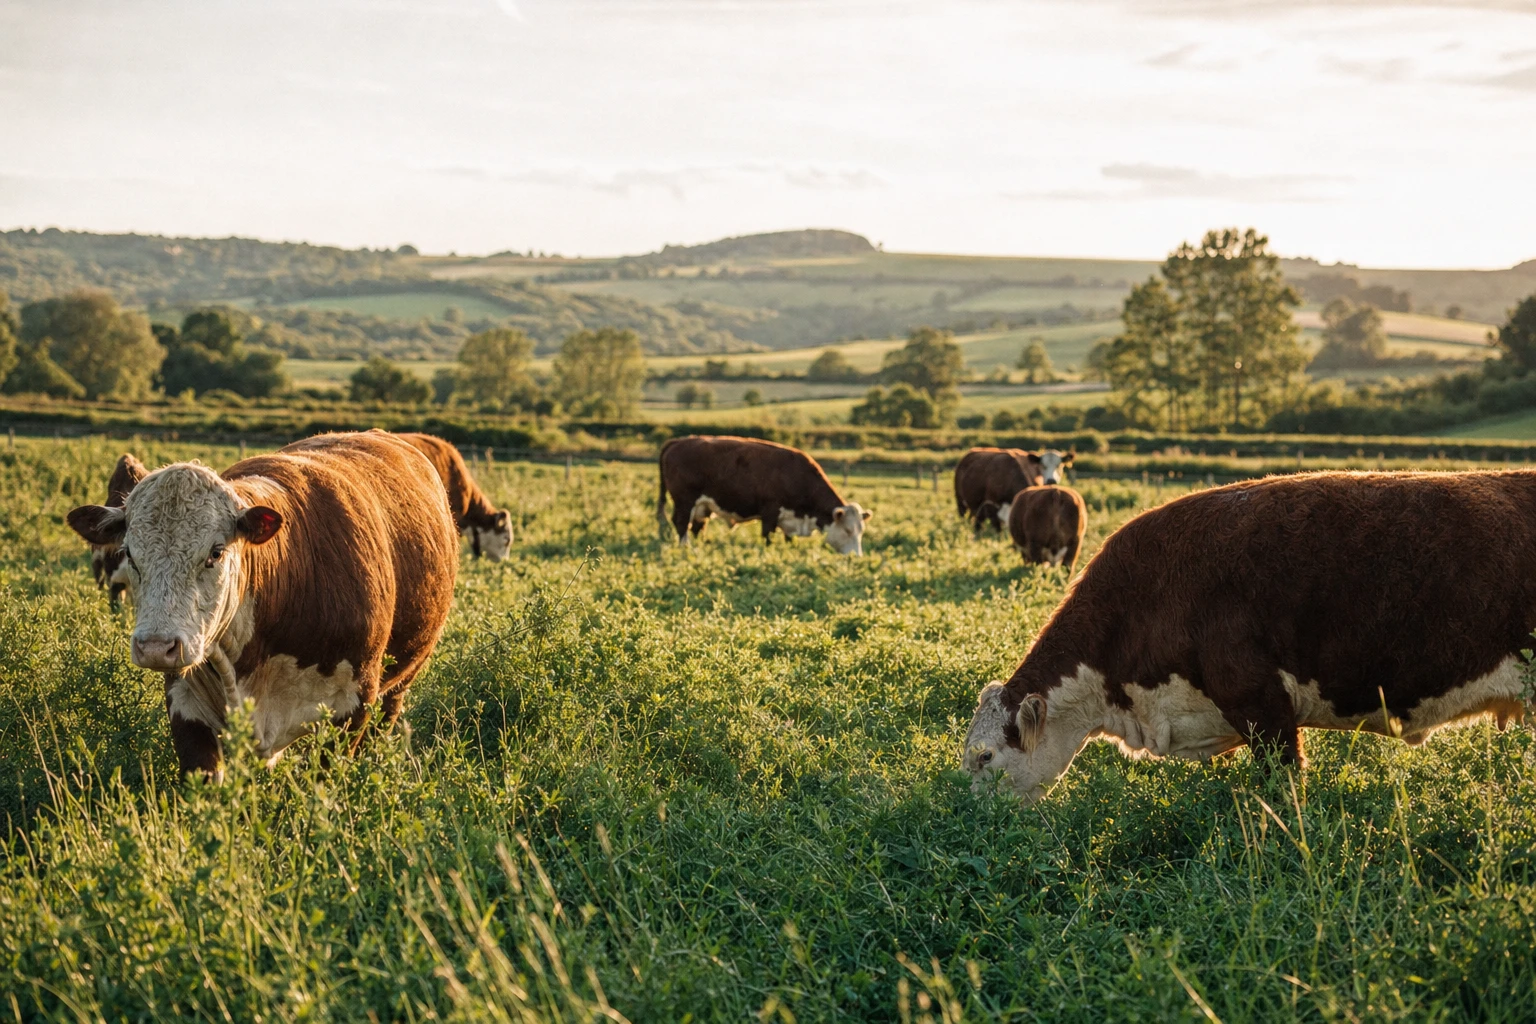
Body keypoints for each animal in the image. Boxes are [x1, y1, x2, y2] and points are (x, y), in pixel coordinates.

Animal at [657, 435, 872, 554]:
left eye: (861, 531)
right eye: (848, 531)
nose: (856, 557)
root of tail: (678, 441)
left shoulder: (790, 520)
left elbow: (789, 540)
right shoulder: (770, 511)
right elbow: (768, 537)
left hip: (703, 505)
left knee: (698, 526)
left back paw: (700, 546)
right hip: (685, 500)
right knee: (681, 523)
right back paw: (686, 548)